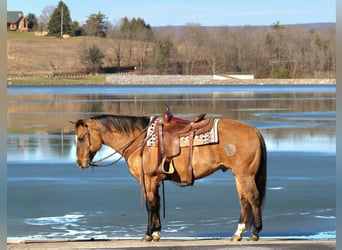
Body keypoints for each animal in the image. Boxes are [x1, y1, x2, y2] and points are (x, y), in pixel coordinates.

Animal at [71, 108, 268, 241]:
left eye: (81, 138)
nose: (80, 163)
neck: (140, 139)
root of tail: (255, 131)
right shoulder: (155, 180)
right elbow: (157, 203)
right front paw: (157, 232)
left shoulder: (148, 179)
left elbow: (150, 205)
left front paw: (148, 234)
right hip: (238, 175)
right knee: (244, 201)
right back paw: (237, 233)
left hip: (245, 175)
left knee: (254, 198)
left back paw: (255, 233)